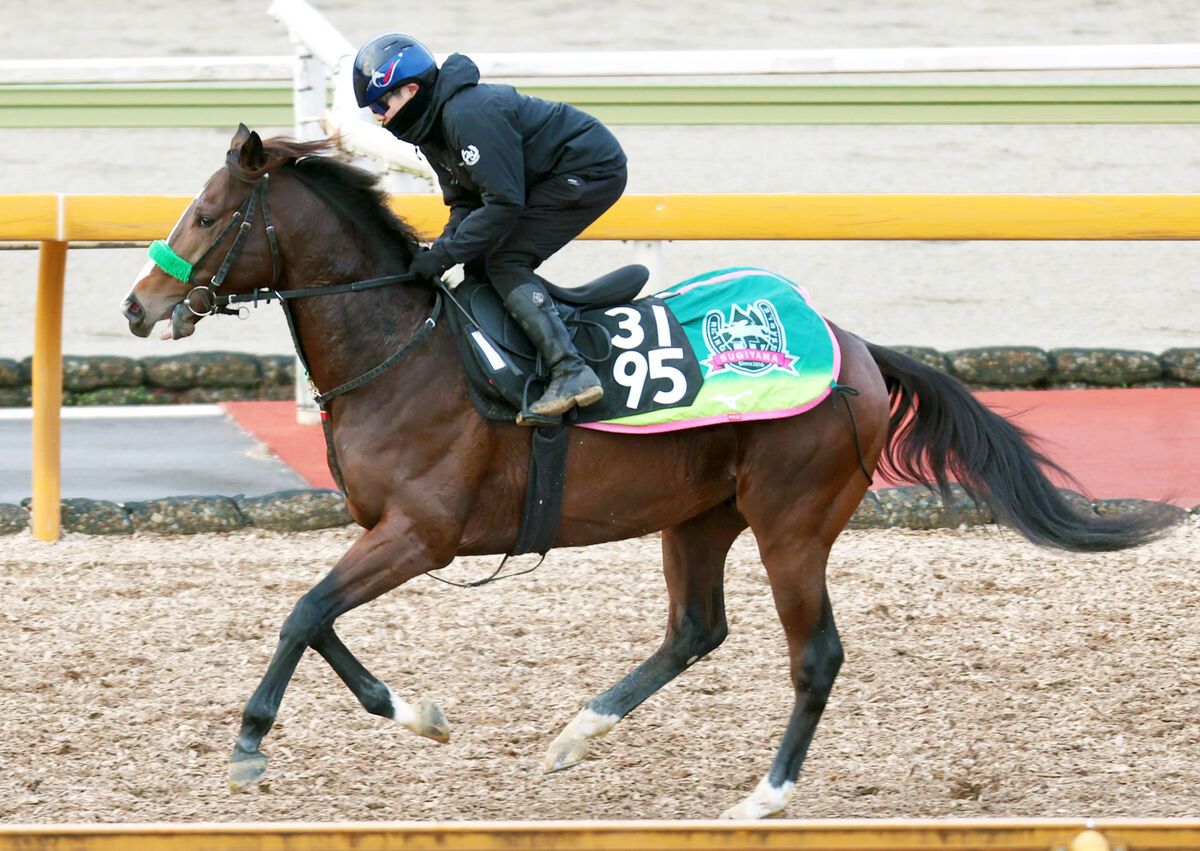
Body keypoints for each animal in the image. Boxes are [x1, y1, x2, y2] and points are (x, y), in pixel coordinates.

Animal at [119, 126, 1171, 816]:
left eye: (207, 214)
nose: (137, 305)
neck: (402, 347)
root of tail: (861, 350)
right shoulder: (388, 531)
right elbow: (320, 618)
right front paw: (416, 713)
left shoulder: (422, 533)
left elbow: (304, 613)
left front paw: (250, 744)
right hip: (699, 513)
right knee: (695, 629)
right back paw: (576, 734)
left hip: (793, 521)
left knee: (815, 653)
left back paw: (765, 795)